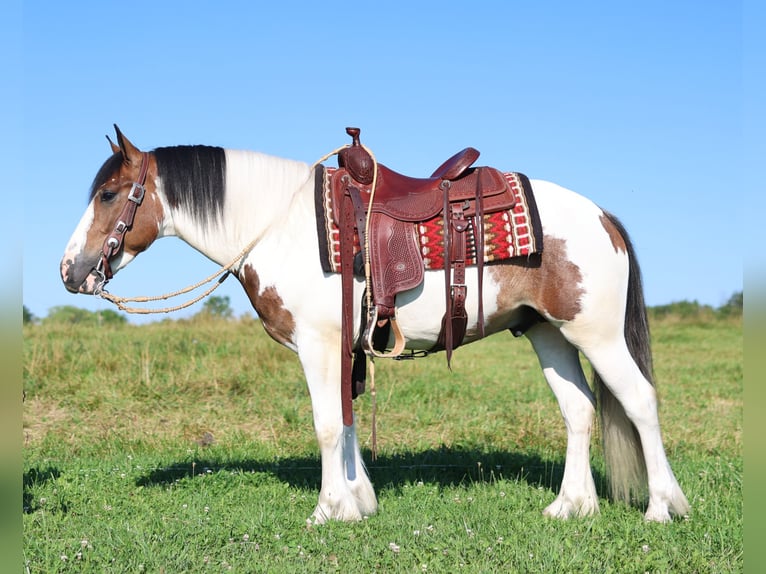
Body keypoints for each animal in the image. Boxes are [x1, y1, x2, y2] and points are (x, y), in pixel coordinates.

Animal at [60, 126, 690, 524]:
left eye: (109, 193)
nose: (70, 270)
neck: (280, 225)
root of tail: (603, 217)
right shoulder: (345, 348)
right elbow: (346, 421)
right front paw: (358, 500)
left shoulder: (317, 345)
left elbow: (325, 425)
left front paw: (328, 510)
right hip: (548, 333)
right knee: (579, 410)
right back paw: (571, 507)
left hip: (597, 335)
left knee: (639, 401)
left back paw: (663, 507)